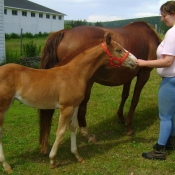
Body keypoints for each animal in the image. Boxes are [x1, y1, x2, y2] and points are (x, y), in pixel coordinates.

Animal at [0, 32, 137, 173]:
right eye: (118, 50)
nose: (135, 61)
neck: (75, 74)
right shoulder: (66, 108)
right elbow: (60, 133)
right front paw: (52, 161)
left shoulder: (74, 106)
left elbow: (73, 128)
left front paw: (77, 156)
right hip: (3, 107)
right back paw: (7, 166)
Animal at [38, 21, 161, 154]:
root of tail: (65, 32)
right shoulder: (144, 74)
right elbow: (134, 100)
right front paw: (129, 127)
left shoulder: (128, 76)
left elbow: (125, 95)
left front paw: (121, 117)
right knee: (81, 109)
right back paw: (87, 135)